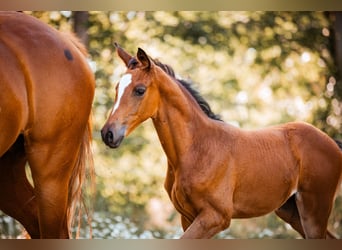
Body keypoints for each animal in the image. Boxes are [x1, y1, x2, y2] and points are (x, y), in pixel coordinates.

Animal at [101, 44, 342, 238]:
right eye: (116, 88)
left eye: (140, 90)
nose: (107, 133)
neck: (196, 149)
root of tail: (331, 142)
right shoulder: (188, 218)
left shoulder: (215, 218)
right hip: (291, 211)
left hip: (314, 210)